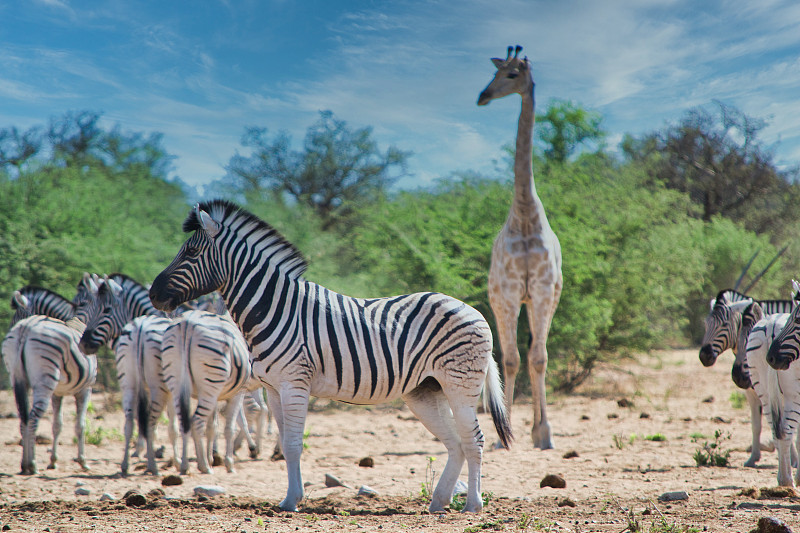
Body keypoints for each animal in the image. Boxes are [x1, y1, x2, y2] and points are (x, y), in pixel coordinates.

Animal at [2, 284, 98, 472]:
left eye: (16, 316)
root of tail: (26, 328)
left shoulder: (57, 393)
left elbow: (57, 425)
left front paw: (53, 461)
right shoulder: (85, 390)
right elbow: (80, 425)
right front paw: (83, 461)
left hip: (18, 379)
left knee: (23, 418)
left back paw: (24, 464)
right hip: (45, 381)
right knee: (33, 419)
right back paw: (31, 464)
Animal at [161, 308, 252, 474]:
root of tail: (186, 324)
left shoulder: (214, 396)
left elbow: (212, 428)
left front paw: (211, 458)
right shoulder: (237, 393)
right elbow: (229, 428)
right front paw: (229, 464)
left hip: (177, 383)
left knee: (184, 423)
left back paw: (185, 465)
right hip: (210, 382)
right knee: (196, 422)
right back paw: (203, 467)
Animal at [744, 298, 800, 484]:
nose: (772, 357)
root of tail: (771, 327)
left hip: (763, 389)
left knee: (778, 433)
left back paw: (783, 480)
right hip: (793, 394)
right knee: (786, 432)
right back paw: (788, 480)